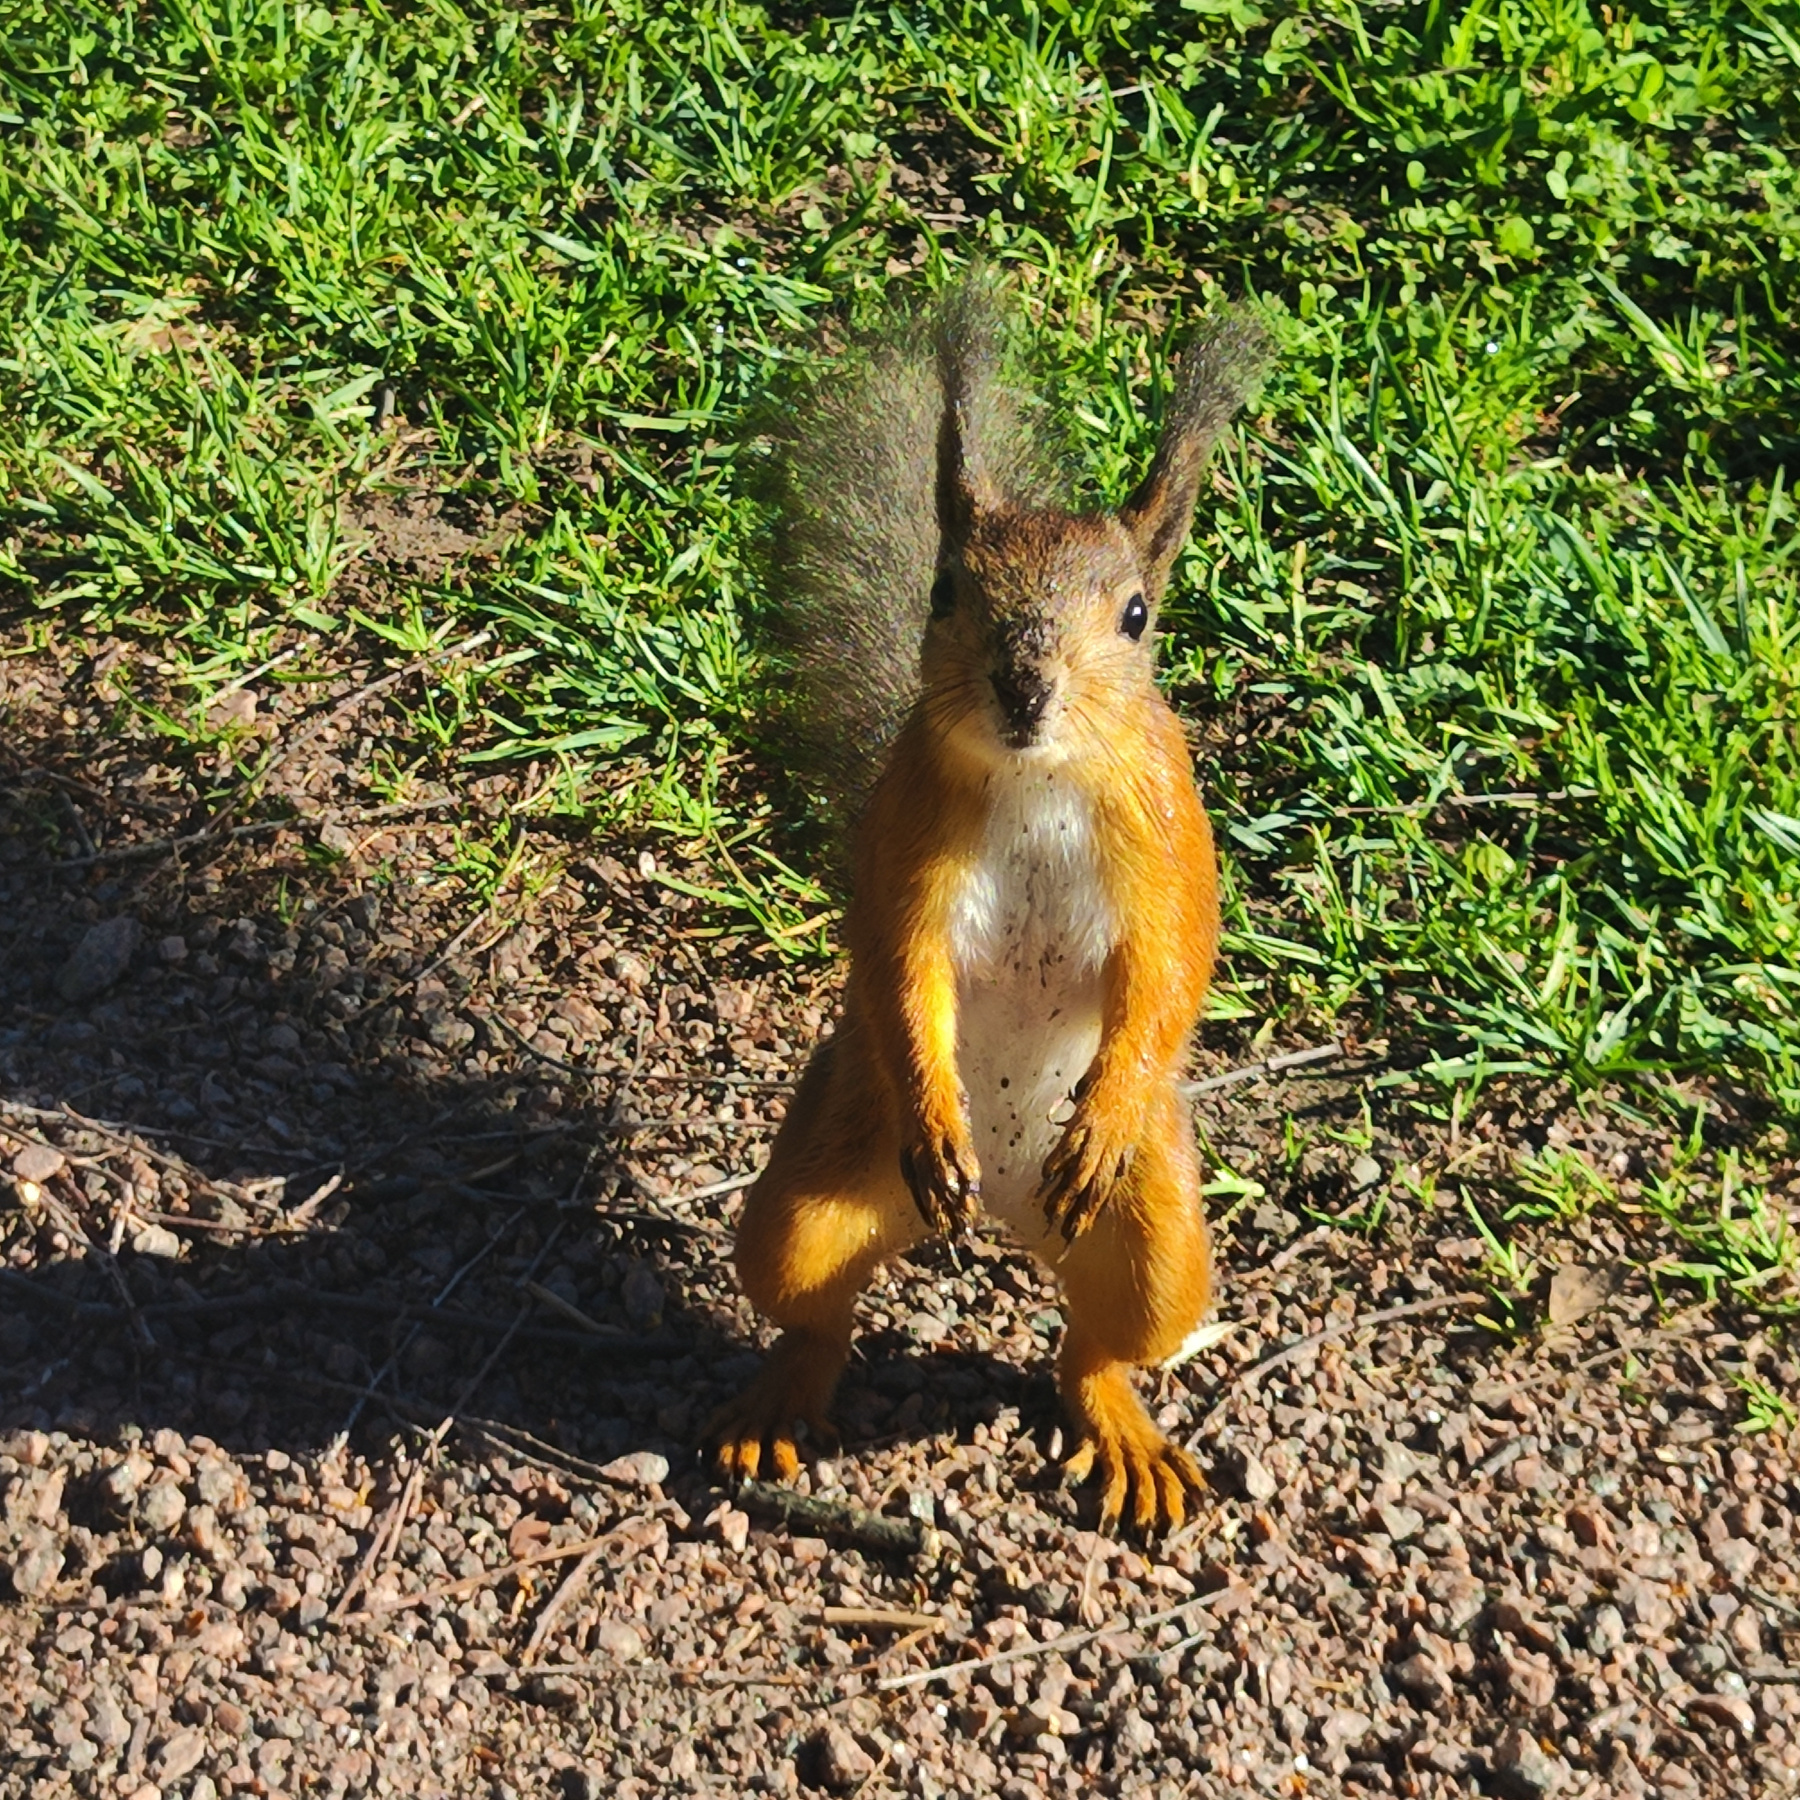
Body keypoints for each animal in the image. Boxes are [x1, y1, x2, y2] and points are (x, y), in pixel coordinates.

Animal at [708, 274, 1271, 1533]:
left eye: (1137, 616)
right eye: (944, 589)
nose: (1023, 685)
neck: (1038, 777)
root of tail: (1007, 1208)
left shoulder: (1169, 844)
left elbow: (1172, 971)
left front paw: (1103, 1110)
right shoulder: (907, 847)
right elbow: (898, 964)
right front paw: (935, 1112)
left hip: (1160, 1237)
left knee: (1098, 1347)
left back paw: (1124, 1430)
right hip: (812, 1189)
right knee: (814, 1306)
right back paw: (783, 1399)